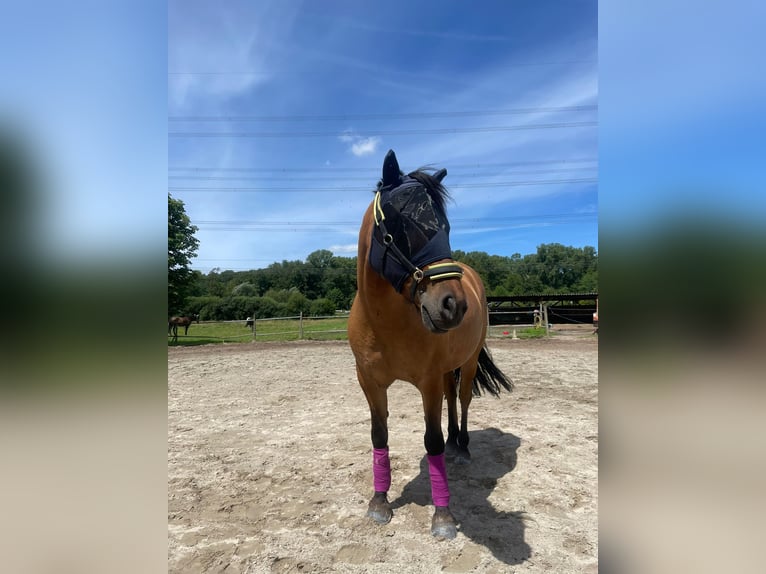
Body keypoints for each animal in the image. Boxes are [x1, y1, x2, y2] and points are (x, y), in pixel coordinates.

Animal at [352, 151, 512, 544]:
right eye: (401, 220)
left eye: (447, 226)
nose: (453, 305)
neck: (385, 324)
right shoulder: (370, 382)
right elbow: (379, 435)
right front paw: (379, 501)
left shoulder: (427, 382)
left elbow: (433, 440)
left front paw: (443, 516)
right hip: (446, 371)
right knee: (452, 398)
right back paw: (457, 441)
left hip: (467, 363)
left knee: (464, 399)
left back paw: (462, 446)